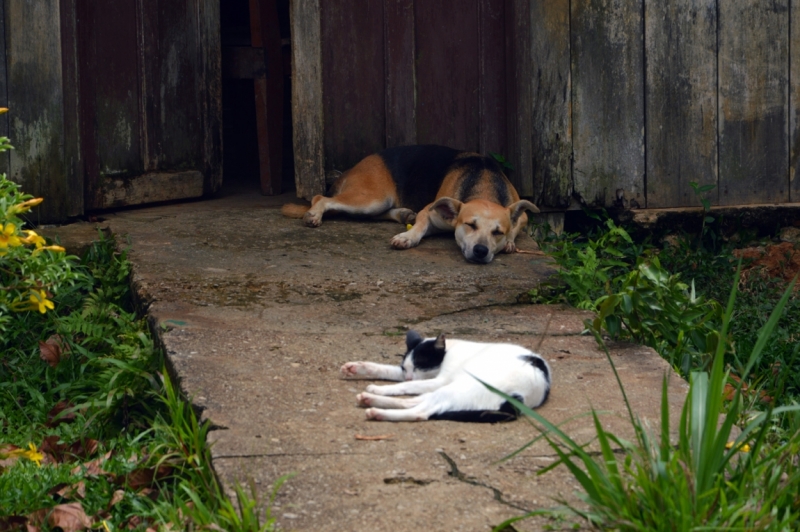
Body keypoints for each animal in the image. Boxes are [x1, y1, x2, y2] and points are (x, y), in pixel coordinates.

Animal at [282, 144, 536, 262]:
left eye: (497, 232)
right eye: (469, 225)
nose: (481, 251)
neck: (484, 185)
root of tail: (353, 168)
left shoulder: (522, 216)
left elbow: (516, 225)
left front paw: (510, 242)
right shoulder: (430, 213)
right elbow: (420, 226)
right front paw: (407, 237)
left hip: (374, 203)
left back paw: (403, 214)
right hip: (371, 198)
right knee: (320, 198)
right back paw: (314, 214)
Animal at [338, 330, 552, 422]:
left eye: (421, 365)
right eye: (406, 368)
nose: (409, 376)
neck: (450, 349)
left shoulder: (437, 380)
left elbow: (405, 386)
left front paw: (378, 387)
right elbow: (386, 370)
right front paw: (356, 368)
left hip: (458, 387)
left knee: (421, 412)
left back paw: (376, 410)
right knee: (415, 402)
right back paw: (369, 400)